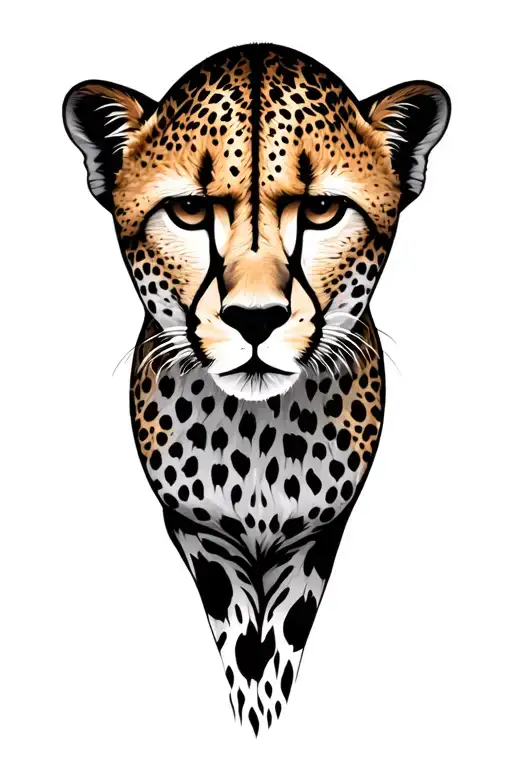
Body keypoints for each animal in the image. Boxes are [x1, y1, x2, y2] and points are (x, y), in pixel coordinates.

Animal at [63, 42, 450, 735]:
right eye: (190, 211)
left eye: (322, 210)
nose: (255, 318)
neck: (258, 431)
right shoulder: (200, 534)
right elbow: (243, 645)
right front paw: (254, 715)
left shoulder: (317, 536)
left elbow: (280, 641)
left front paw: (265, 715)